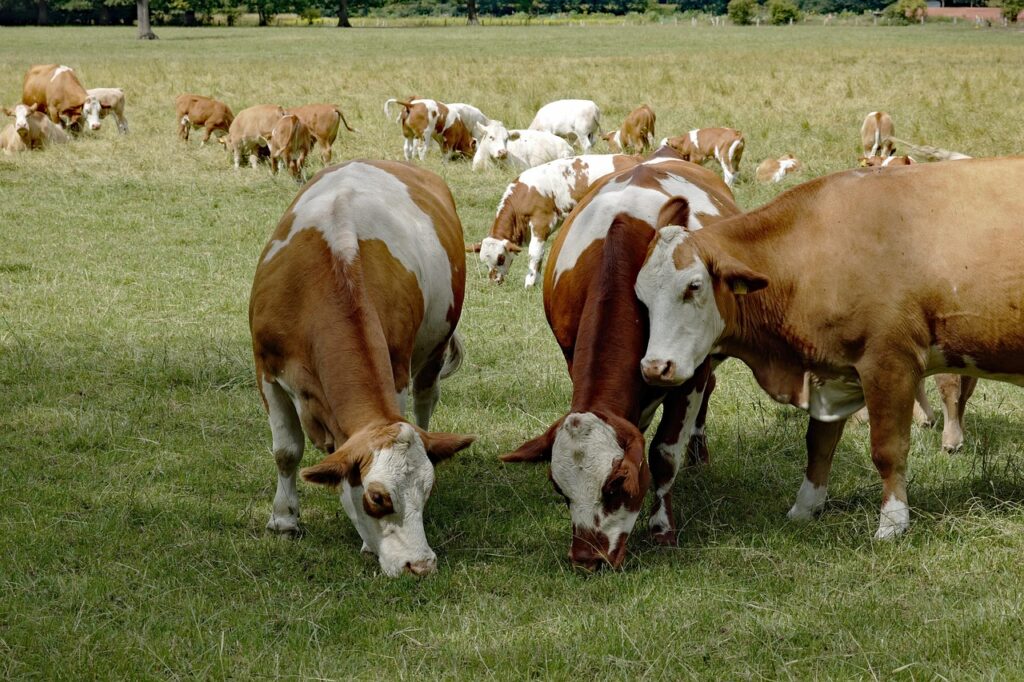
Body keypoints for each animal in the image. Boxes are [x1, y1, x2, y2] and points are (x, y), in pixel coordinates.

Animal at [250, 159, 475, 577]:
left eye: (427, 491)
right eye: (378, 497)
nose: (421, 565)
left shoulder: (397, 372)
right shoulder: (267, 370)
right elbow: (286, 451)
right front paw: (284, 520)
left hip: (435, 345)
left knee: (426, 399)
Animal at [467, 154, 641, 287]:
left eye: (501, 258)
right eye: (484, 262)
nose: (494, 281)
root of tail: (633, 158)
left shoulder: (540, 222)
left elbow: (535, 253)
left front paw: (530, 283)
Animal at [501, 158, 739, 570]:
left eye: (616, 485)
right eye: (560, 489)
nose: (586, 558)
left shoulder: (689, 373)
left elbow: (663, 453)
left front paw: (662, 527)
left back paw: (699, 452)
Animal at [635, 158, 1024, 541]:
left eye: (694, 286)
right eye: (640, 295)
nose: (655, 367)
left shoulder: (889, 364)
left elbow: (888, 449)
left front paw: (892, 522)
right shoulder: (829, 374)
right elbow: (818, 446)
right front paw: (805, 508)